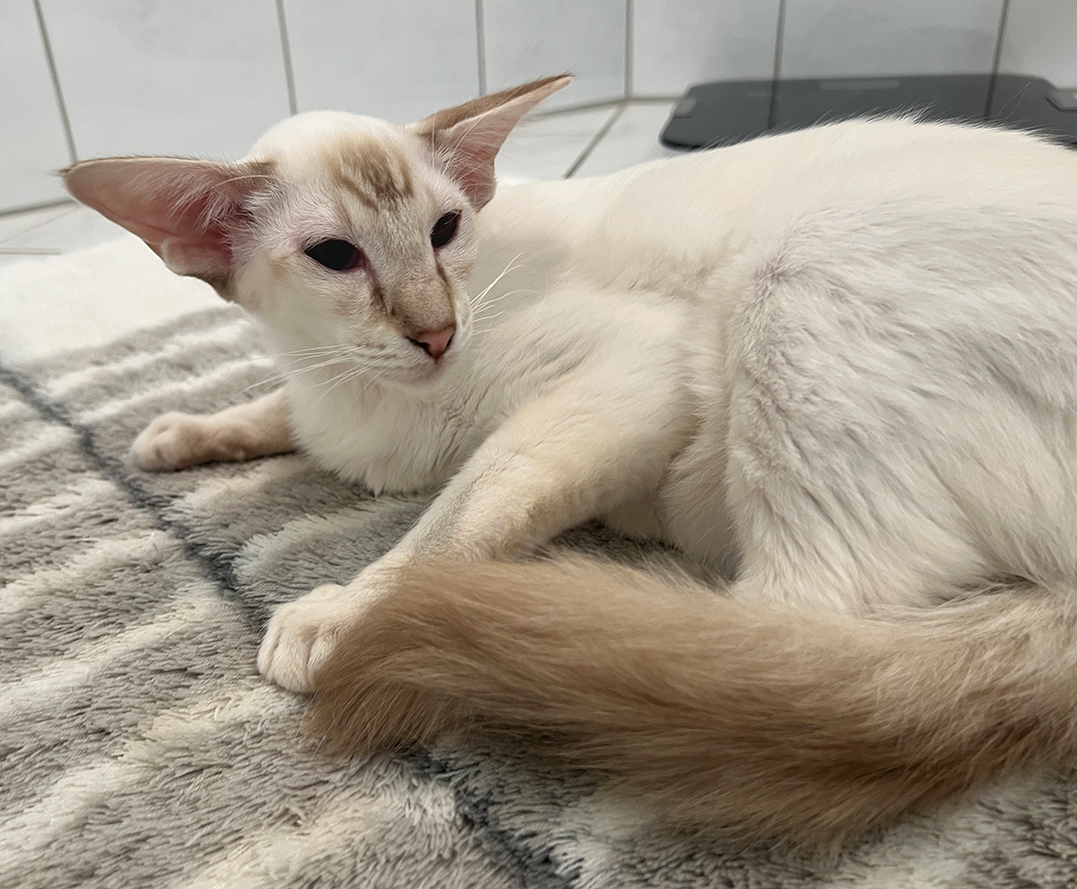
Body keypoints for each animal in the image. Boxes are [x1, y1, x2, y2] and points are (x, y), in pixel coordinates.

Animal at [63, 74, 1077, 847]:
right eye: (335, 256)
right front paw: (176, 433)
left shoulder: (629, 371)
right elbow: (276, 412)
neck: (365, 391)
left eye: (444, 231)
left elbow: (459, 511)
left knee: (779, 647)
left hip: (804, 264)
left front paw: (348, 609)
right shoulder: (329, 399)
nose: (436, 332)